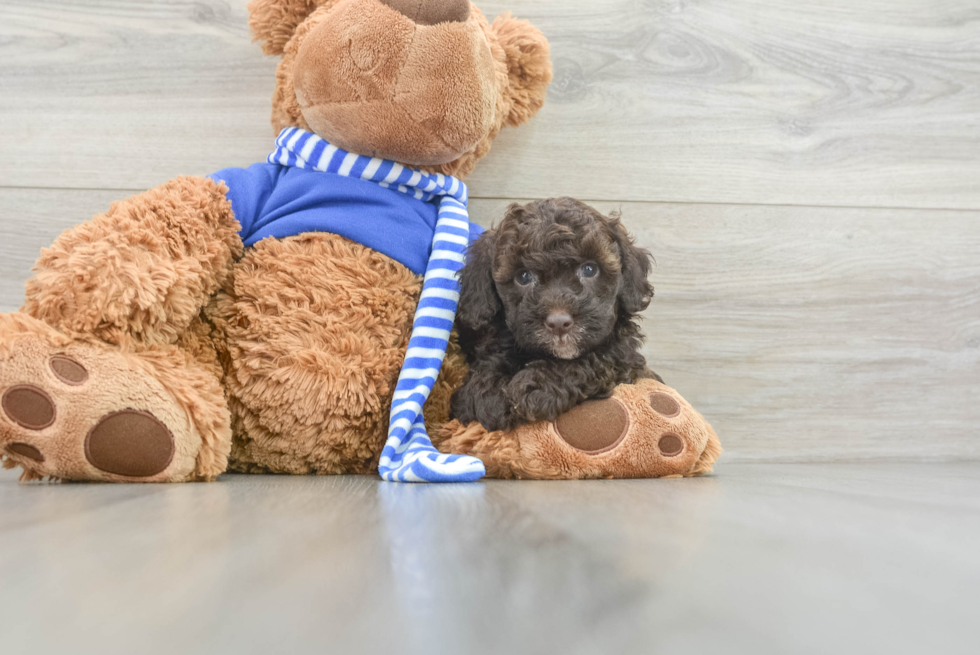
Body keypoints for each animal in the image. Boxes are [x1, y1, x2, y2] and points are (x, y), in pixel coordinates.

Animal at [450, 197, 664, 434]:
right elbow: (490, 364)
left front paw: (536, 387)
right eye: (523, 276)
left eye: (589, 269)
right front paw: (489, 394)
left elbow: (598, 358)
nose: (559, 323)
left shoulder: (624, 356)